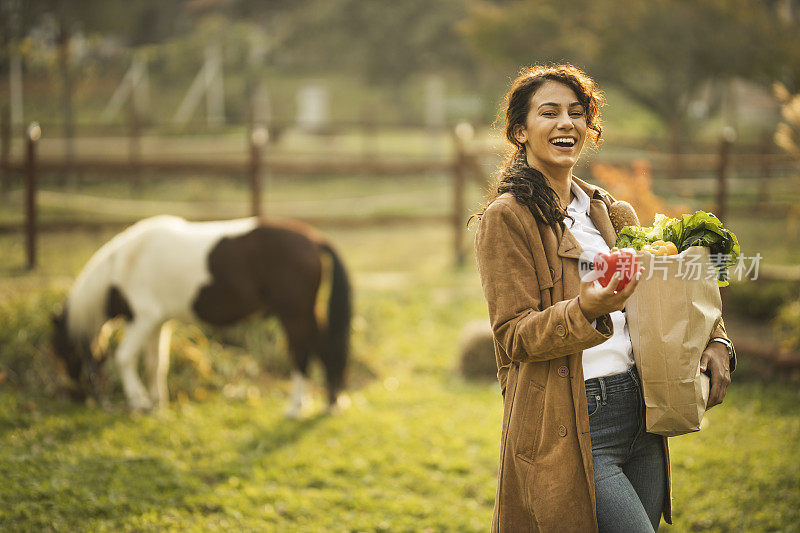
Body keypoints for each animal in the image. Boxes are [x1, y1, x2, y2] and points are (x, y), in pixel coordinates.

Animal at [50, 214, 350, 414]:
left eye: (61, 349)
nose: (73, 395)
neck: (122, 267)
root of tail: (314, 239)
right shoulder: (158, 323)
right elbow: (156, 362)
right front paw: (157, 402)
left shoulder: (143, 318)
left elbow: (124, 357)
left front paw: (140, 401)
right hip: (306, 312)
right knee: (324, 347)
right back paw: (330, 402)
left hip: (293, 313)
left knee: (302, 352)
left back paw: (296, 407)